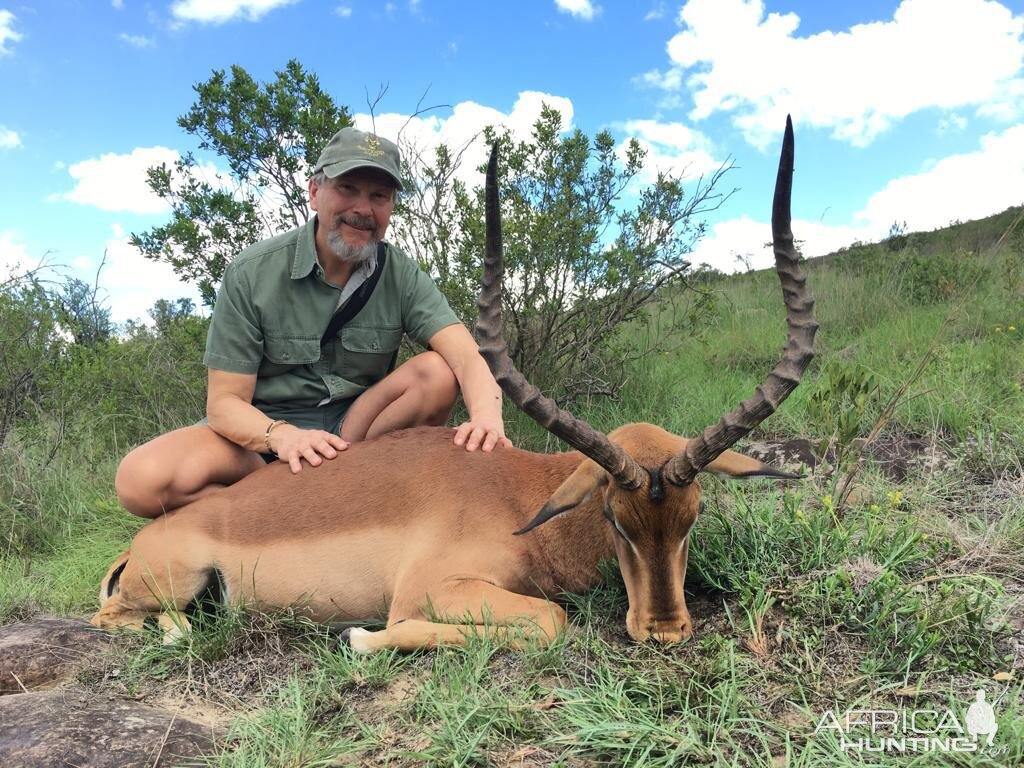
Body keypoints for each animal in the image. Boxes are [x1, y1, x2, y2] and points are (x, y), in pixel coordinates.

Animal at [94, 117, 815, 651]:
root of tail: (141, 544)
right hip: (172, 583)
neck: (519, 498)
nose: (663, 630)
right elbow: (548, 620)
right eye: (615, 515)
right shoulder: (428, 591)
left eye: (694, 516)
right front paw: (361, 636)